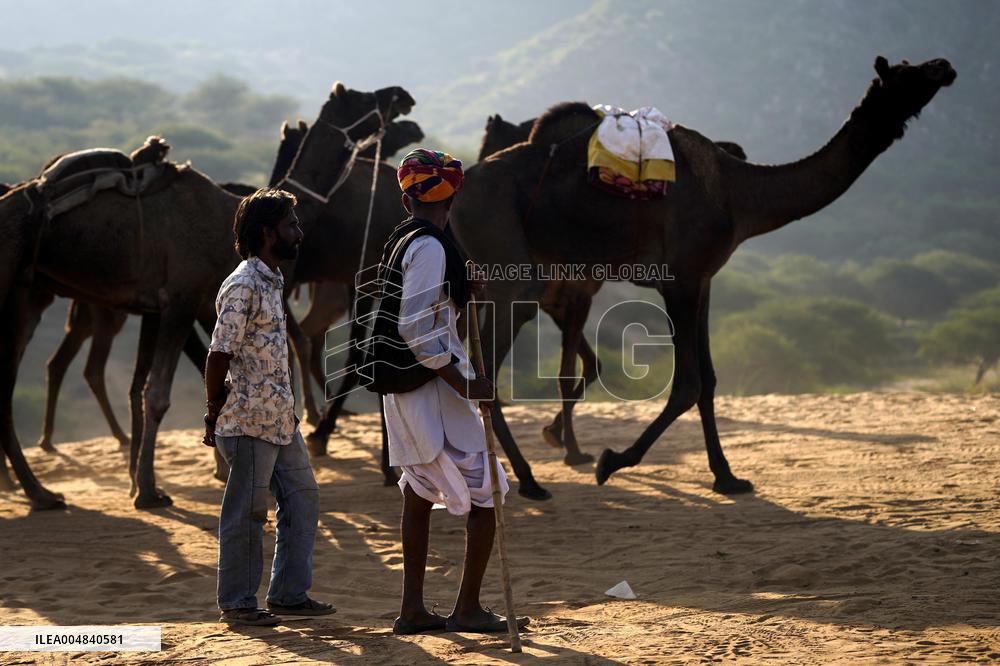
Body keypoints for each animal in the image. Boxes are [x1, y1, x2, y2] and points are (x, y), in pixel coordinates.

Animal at [0, 83, 415, 510]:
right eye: (361, 98)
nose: (401, 97)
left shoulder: (168, 305)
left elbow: (157, 386)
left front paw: (145, 482)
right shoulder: (181, 300)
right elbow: (158, 392)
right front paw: (147, 491)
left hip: (26, 295)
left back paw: (38, 490)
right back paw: (39, 491)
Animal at [446, 57, 955, 500]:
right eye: (905, 73)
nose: (944, 66)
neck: (737, 192)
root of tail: (461, 190)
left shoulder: (705, 279)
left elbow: (708, 380)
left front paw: (728, 477)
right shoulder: (681, 279)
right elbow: (687, 382)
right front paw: (611, 461)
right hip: (510, 264)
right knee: (491, 367)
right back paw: (530, 482)